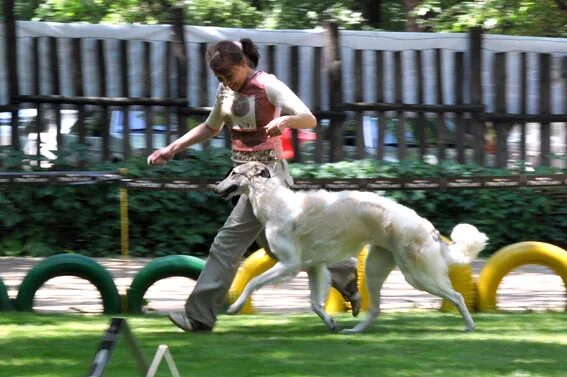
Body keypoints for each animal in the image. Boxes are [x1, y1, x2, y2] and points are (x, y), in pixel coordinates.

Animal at [215, 161, 490, 332]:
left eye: (233, 173)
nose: (216, 188)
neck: (272, 200)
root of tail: (425, 225)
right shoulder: (314, 267)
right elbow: (315, 304)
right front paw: (331, 322)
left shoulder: (290, 265)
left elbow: (252, 283)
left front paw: (234, 307)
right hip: (375, 269)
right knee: (376, 309)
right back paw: (354, 330)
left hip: (417, 276)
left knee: (457, 296)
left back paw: (470, 326)